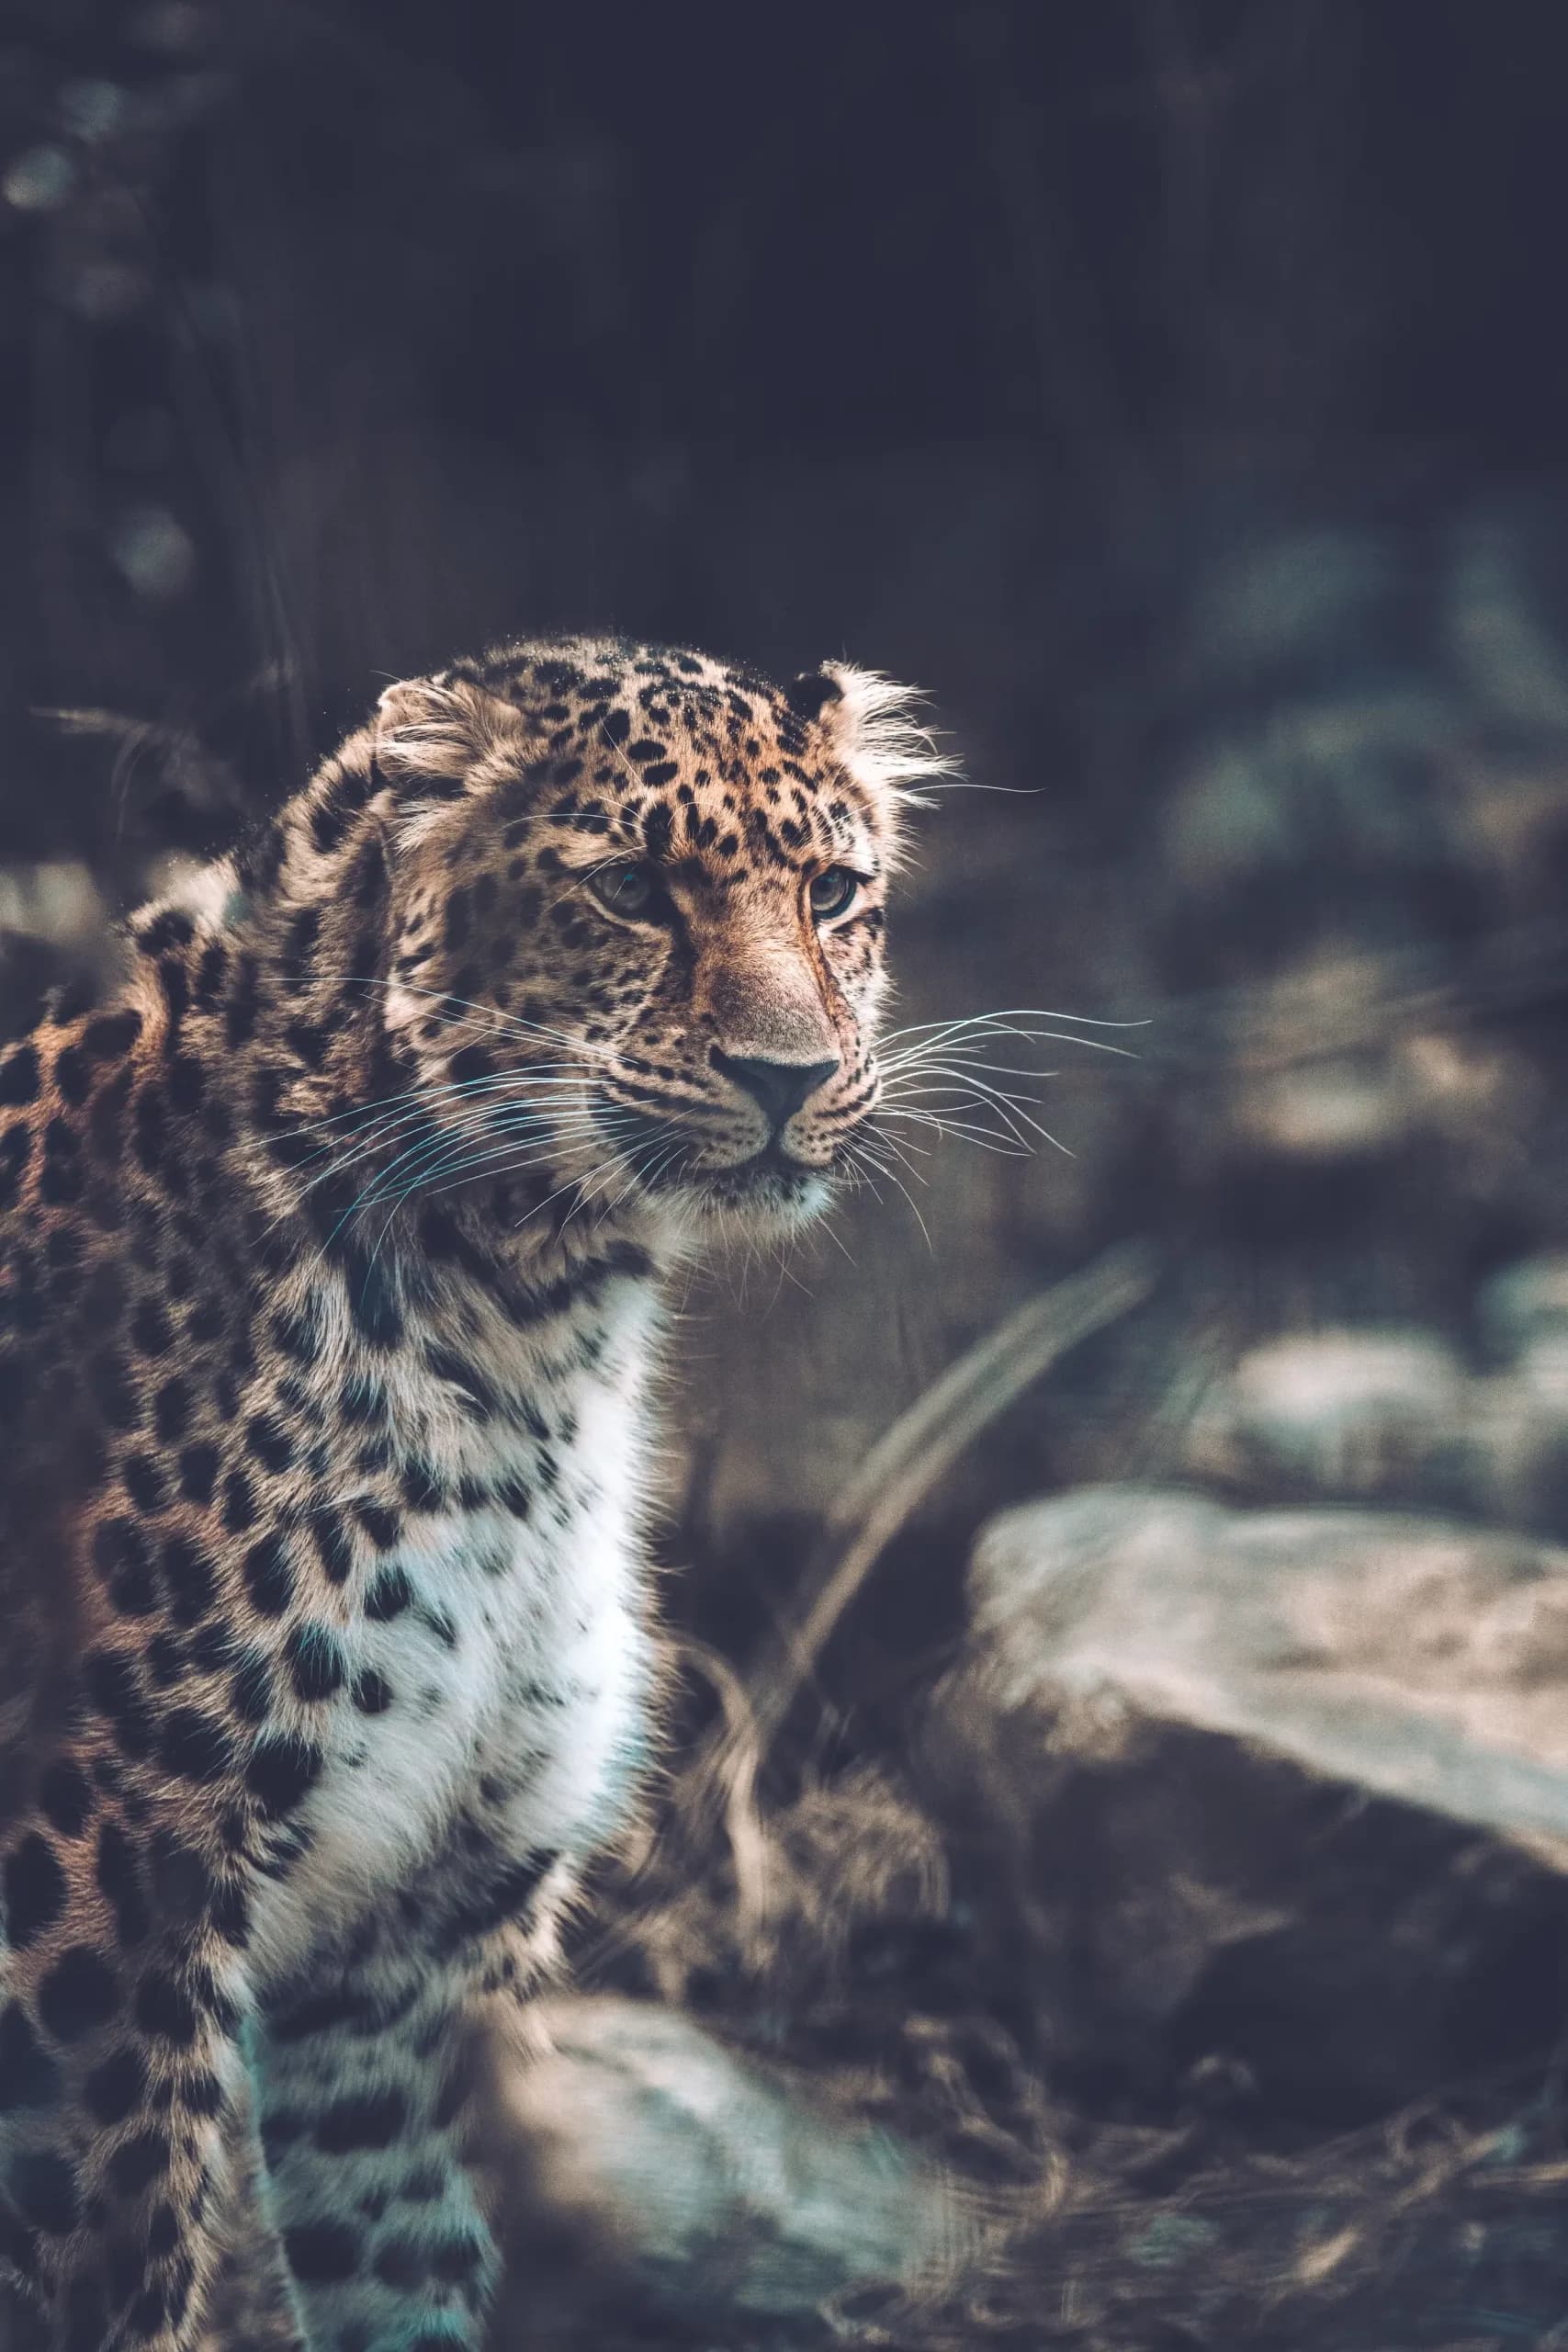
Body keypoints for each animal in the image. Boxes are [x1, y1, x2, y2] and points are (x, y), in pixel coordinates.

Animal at [0, 635, 947, 2352]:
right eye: (631, 892)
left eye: (835, 893)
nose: (790, 1077)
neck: (532, 1328)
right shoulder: (108, 1913)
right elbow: (117, 2273)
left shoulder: (395, 1952)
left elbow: (406, 2261)